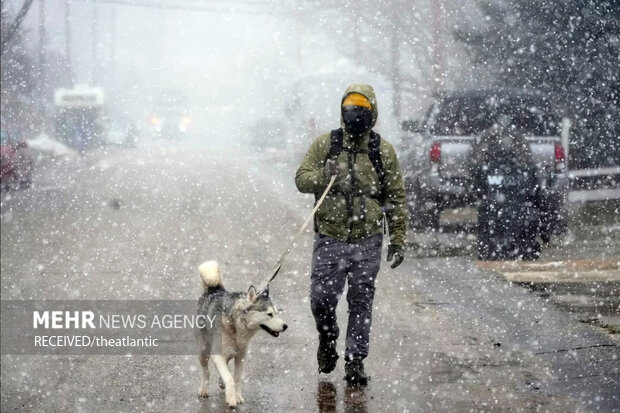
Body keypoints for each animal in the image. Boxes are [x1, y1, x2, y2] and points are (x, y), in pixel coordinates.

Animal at [196, 260, 288, 406]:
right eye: (269, 314)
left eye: (277, 313)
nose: (285, 326)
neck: (237, 324)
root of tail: (215, 289)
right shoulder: (218, 354)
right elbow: (229, 377)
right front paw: (231, 398)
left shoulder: (241, 355)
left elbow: (237, 377)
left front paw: (237, 396)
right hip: (203, 350)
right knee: (206, 371)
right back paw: (204, 389)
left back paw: (221, 382)